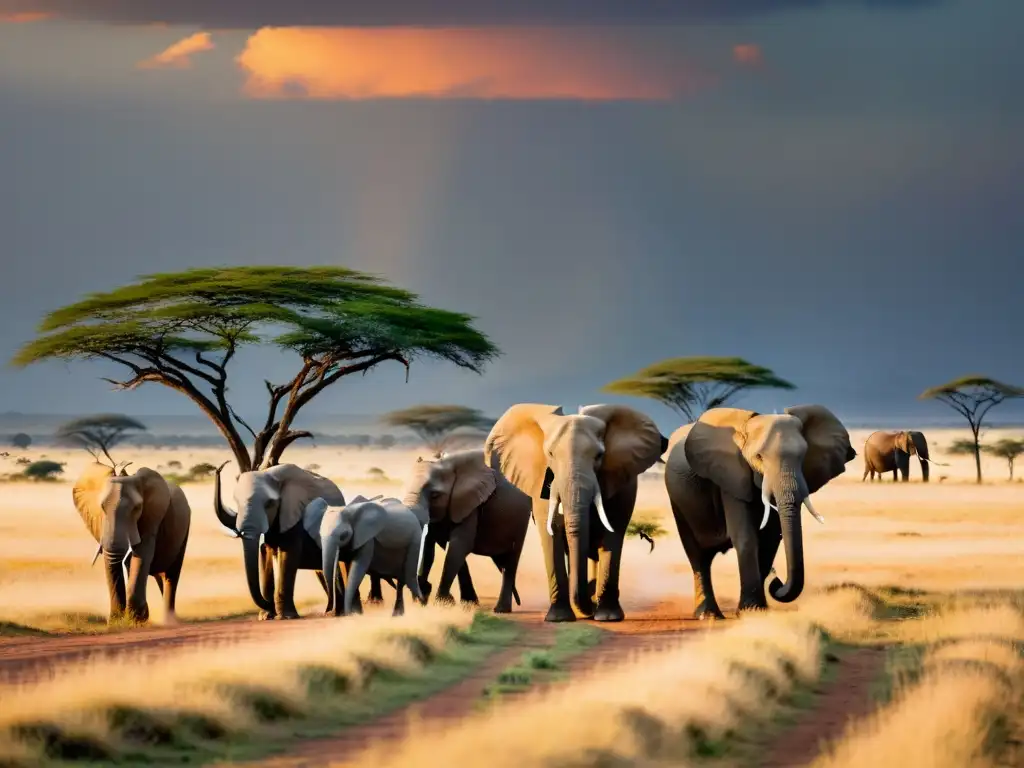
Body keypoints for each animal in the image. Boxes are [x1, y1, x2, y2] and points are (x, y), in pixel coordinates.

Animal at [74, 462, 192, 626]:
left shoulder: (151, 517)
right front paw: (117, 621)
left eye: (136, 509)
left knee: (171, 575)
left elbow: (142, 554)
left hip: (185, 529)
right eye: (102, 506)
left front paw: (136, 618)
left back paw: (169, 620)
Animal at [211, 462, 364, 618]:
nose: (219, 468)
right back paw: (334, 612)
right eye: (236, 502)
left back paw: (347, 613)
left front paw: (285, 616)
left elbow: (288, 554)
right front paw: (266, 617)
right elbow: (265, 552)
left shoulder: (294, 515)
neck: (269, 474)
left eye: (269, 504)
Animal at [403, 450, 532, 614]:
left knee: (511, 561)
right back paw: (472, 603)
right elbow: (431, 544)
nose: (420, 597)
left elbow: (460, 544)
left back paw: (500, 610)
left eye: (434, 495)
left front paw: (441, 603)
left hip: (521, 520)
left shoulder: (471, 504)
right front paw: (428, 596)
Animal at [483, 403, 667, 626]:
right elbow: (551, 536)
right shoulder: (543, 481)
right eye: (550, 454)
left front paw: (608, 618)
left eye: (599, 456)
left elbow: (611, 535)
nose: (590, 607)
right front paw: (559, 619)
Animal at [663, 405, 856, 622]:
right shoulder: (731, 476)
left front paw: (758, 609)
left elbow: (771, 539)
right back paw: (709, 615)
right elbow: (746, 537)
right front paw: (750, 610)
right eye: (759, 457)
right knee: (698, 557)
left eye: (803, 457)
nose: (777, 583)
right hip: (678, 503)